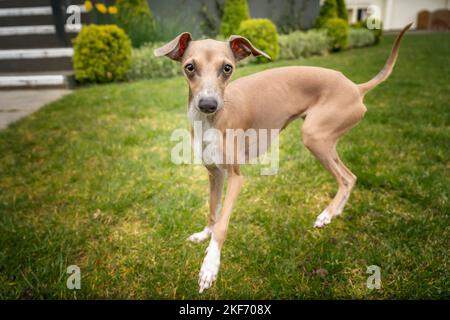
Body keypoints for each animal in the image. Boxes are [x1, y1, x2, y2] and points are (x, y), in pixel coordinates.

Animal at [154, 22, 412, 292]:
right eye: (189, 67)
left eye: (227, 68)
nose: (207, 104)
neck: (210, 122)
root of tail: (355, 87)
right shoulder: (214, 174)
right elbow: (213, 211)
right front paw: (204, 234)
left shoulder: (235, 177)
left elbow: (222, 224)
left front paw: (210, 267)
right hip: (325, 139)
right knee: (351, 176)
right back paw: (335, 213)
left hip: (314, 136)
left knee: (345, 177)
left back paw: (326, 214)